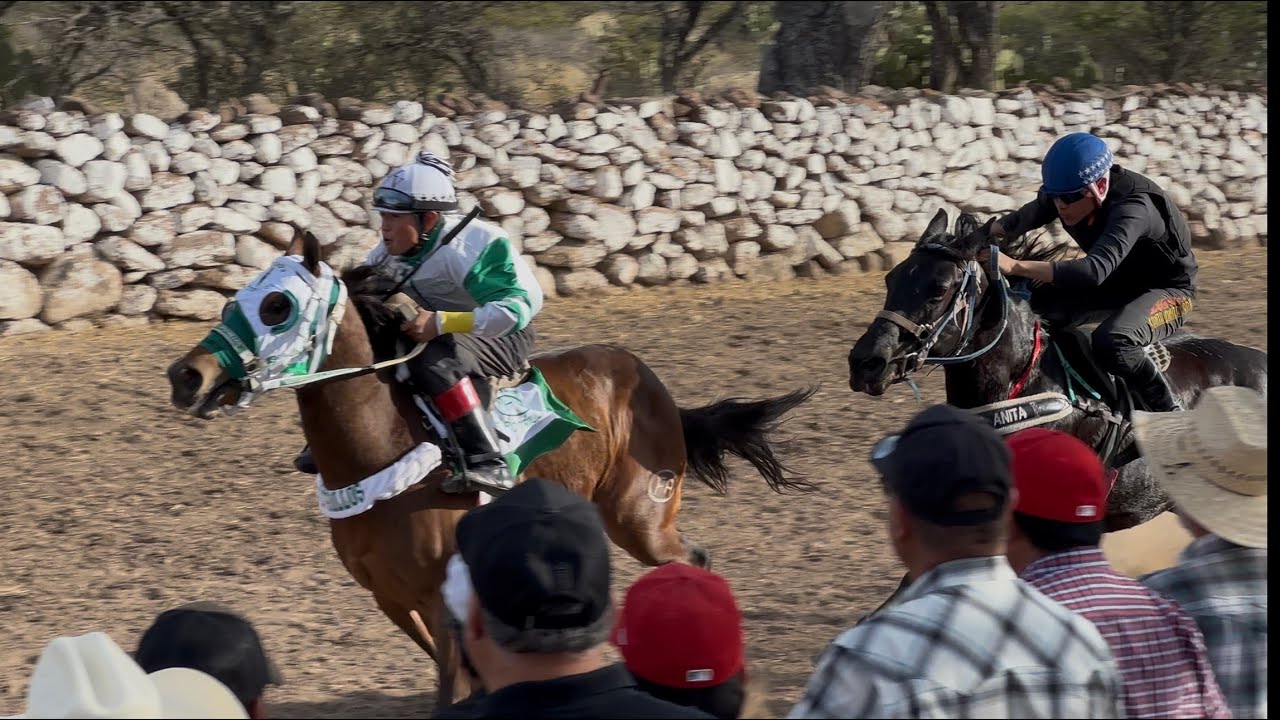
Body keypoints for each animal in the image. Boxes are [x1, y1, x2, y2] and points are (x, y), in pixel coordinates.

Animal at [164, 229, 817, 710]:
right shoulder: (392, 597)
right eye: (234, 298)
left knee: (693, 562)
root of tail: (650, 383)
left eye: (277, 306)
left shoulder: (437, 593)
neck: (382, 448)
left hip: (641, 520)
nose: (186, 375)